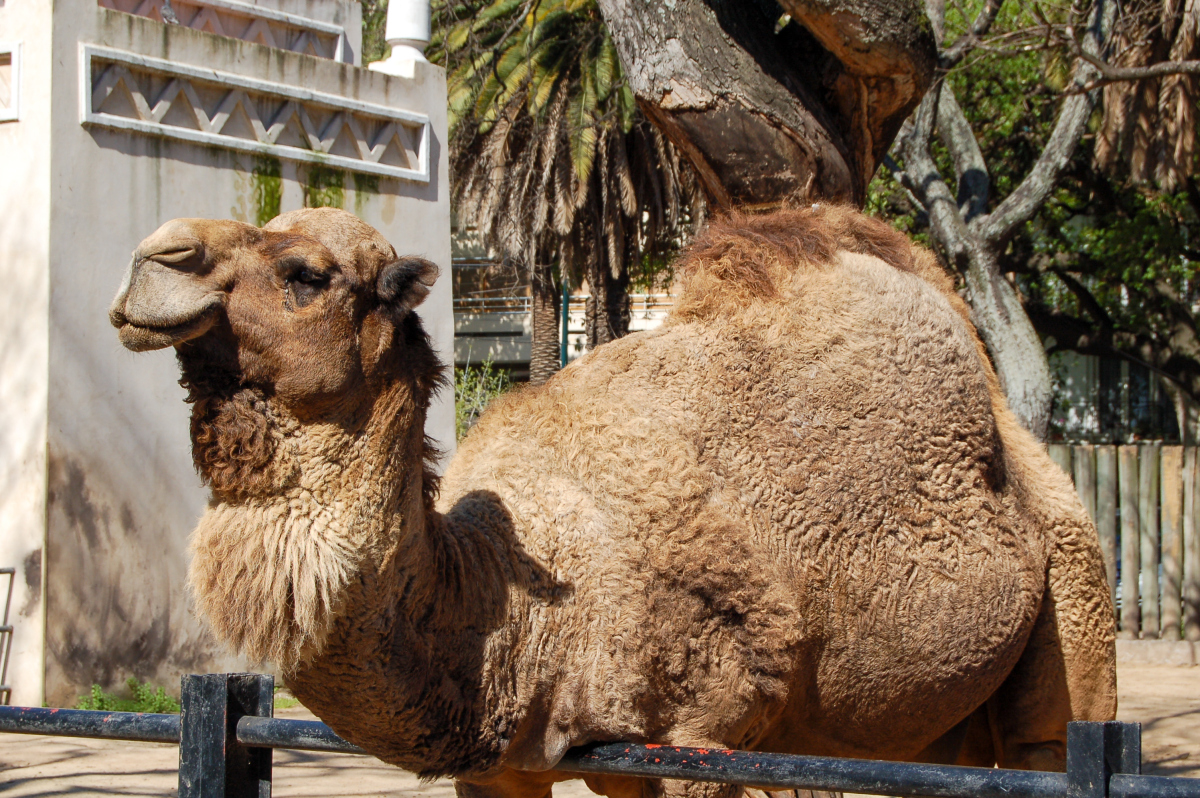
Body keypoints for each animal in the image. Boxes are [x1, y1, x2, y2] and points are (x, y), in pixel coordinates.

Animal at [108, 204, 1118, 796]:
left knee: (1054, 738)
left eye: (305, 273)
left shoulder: (705, 737)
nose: (155, 255)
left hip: (1075, 596)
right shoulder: (508, 765)